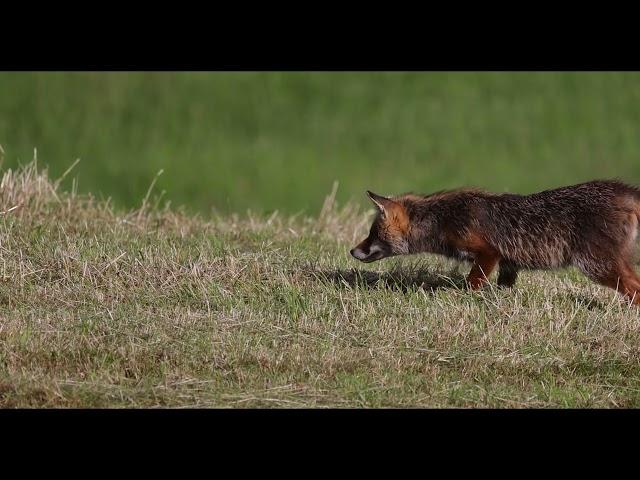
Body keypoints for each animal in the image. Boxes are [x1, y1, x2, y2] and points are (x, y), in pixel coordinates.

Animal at [352, 182, 640, 306]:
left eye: (373, 234)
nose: (352, 251)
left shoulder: (488, 253)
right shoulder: (508, 266)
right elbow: (504, 288)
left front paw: (463, 299)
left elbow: (471, 284)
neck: (444, 219)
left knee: (634, 288)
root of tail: (622, 189)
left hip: (597, 266)